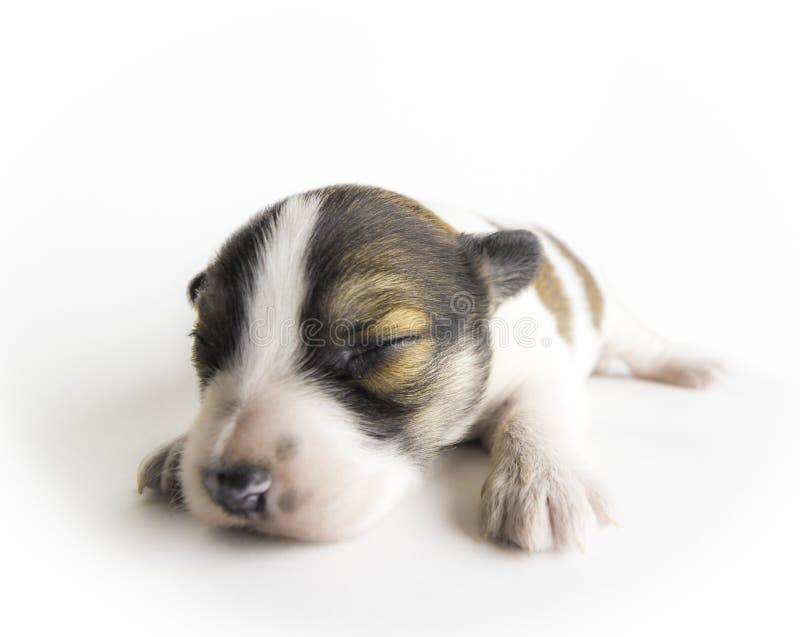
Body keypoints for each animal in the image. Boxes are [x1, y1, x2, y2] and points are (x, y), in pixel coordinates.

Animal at [138, 184, 724, 552]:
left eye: (385, 343)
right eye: (204, 344)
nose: (230, 485)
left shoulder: (545, 366)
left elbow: (534, 411)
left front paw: (545, 481)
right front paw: (176, 450)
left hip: (612, 311)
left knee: (642, 343)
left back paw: (691, 365)